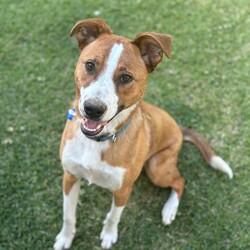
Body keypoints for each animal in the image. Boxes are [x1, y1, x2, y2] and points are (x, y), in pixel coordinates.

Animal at [53, 18, 233, 249]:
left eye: (125, 77)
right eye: (90, 65)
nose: (92, 109)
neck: (98, 141)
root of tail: (178, 128)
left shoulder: (122, 190)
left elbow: (113, 217)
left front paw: (109, 235)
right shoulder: (70, 176)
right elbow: (68, 215)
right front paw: (66, 238)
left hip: (157, 168)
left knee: (180, 181)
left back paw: (169, 210)